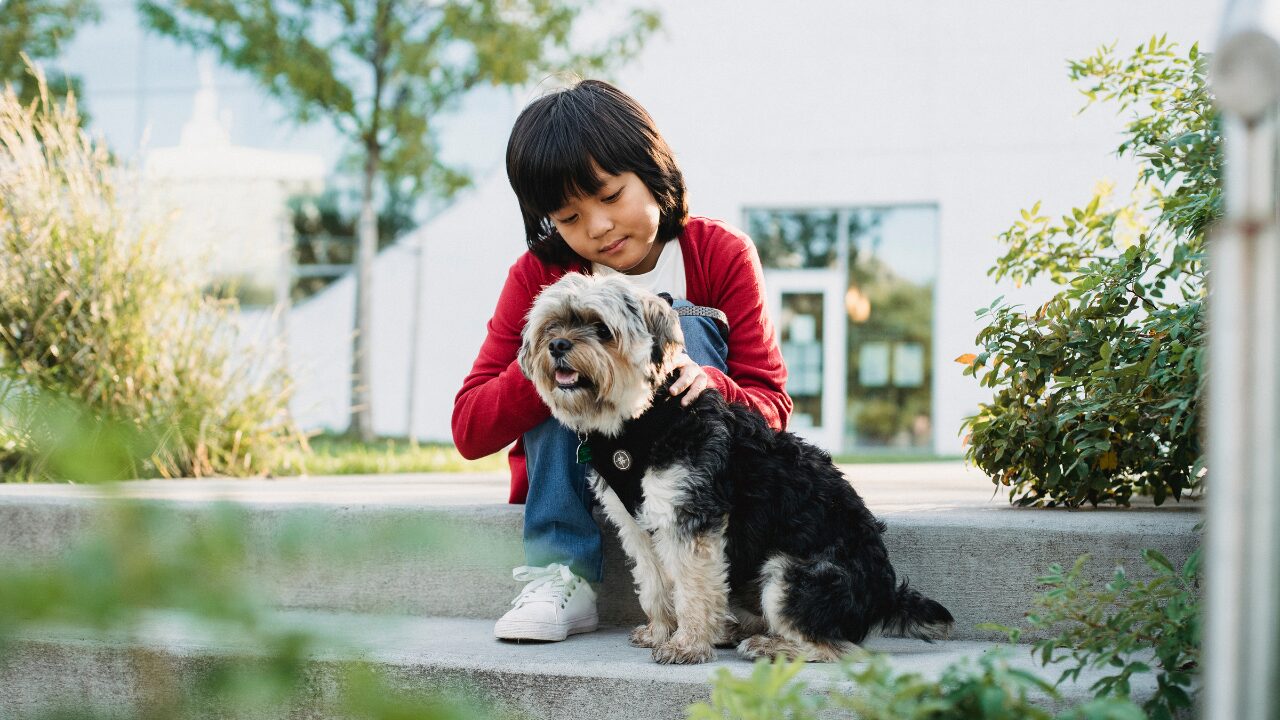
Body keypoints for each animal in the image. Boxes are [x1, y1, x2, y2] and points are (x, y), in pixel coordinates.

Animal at [512, 270, 952, 661]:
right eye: (552, 325)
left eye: (602, 329)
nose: (557, 345)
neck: (642, 421)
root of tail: (886, 595)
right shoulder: (637, 525)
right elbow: (655, 584)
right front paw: (661, 632)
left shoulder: (692, 520)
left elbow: (691, 587)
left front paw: (687, 644)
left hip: (790, 574)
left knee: (838, 648)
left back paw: (770, 647)